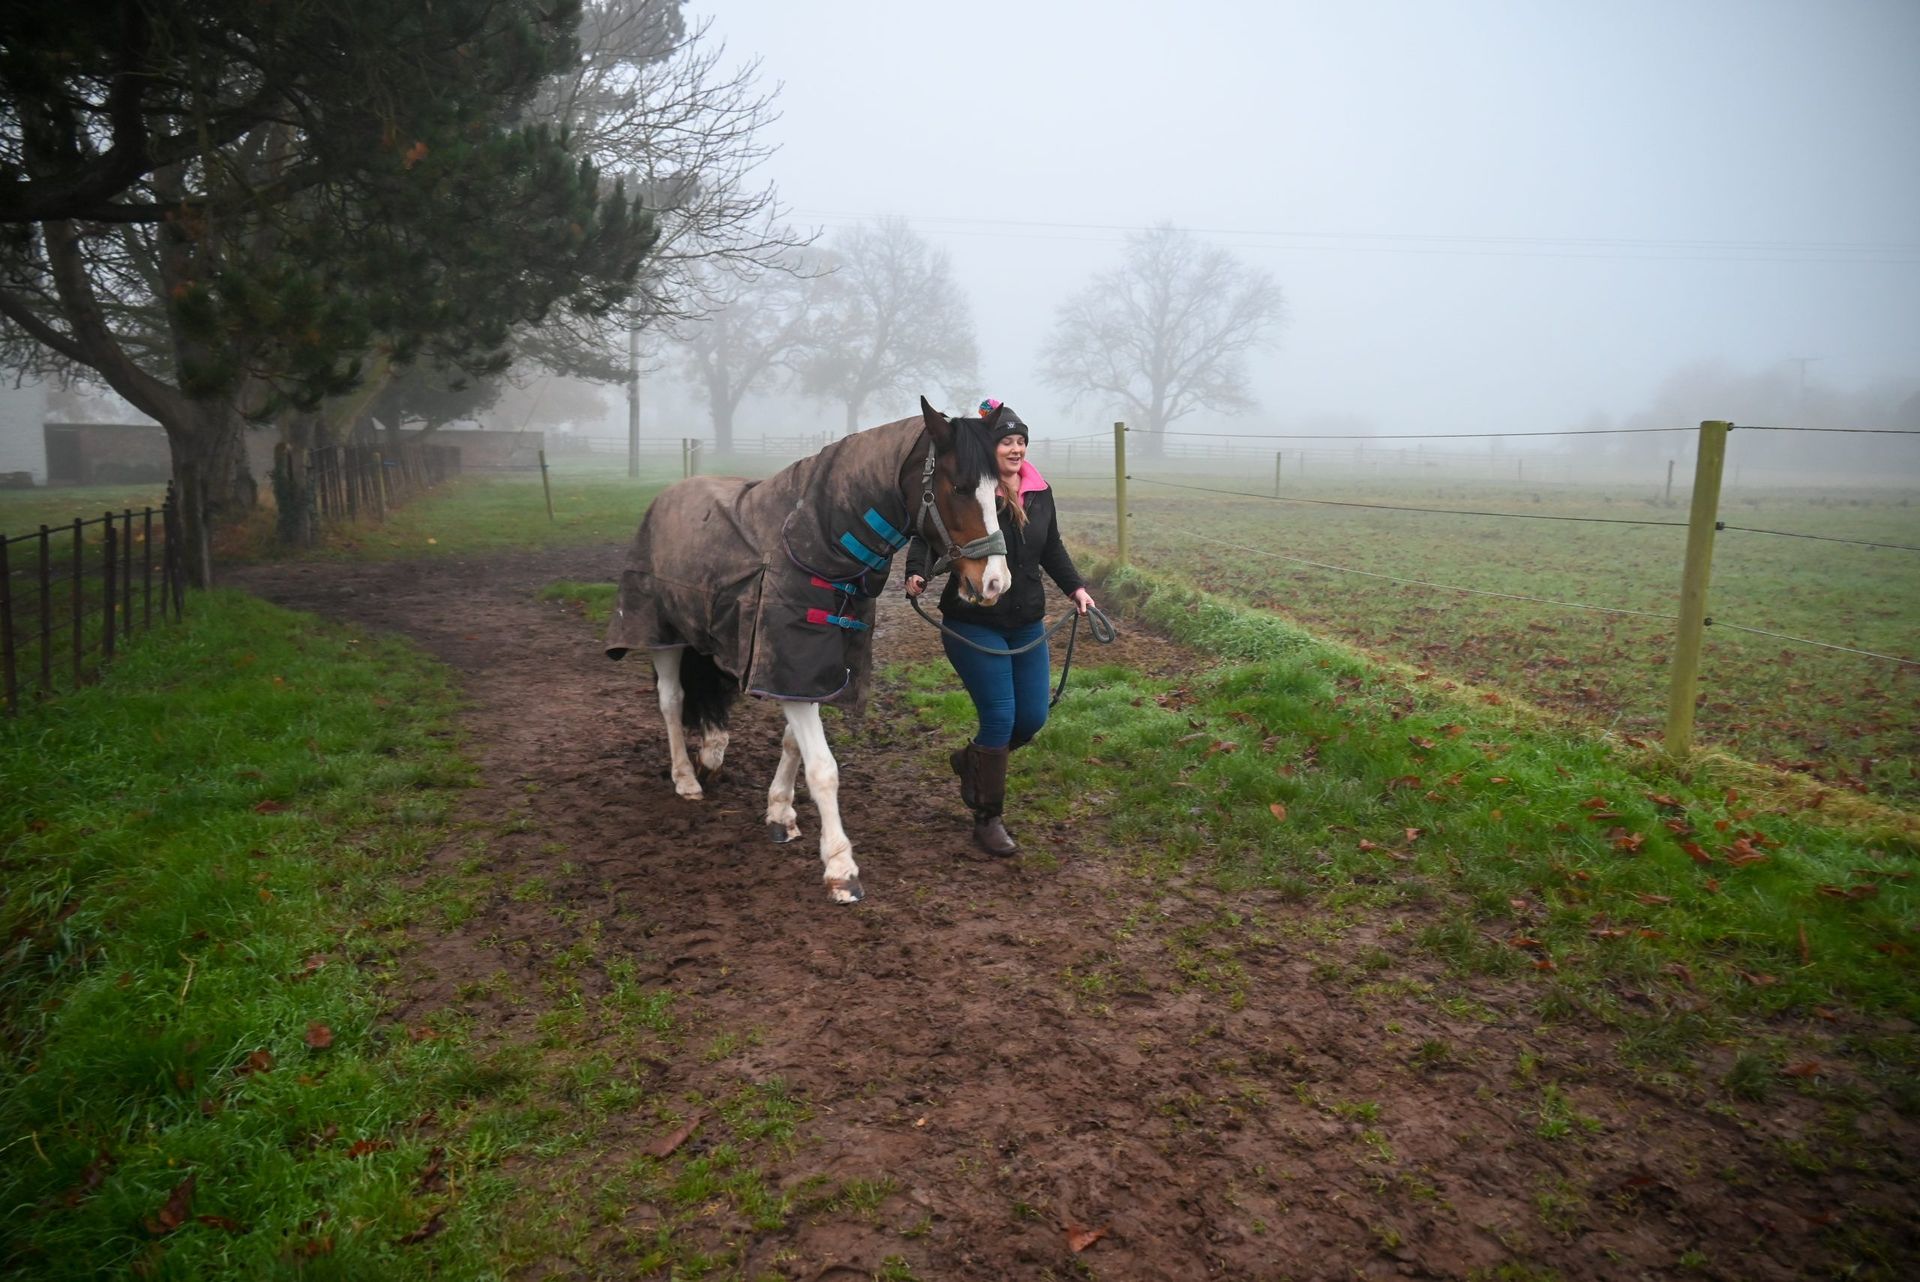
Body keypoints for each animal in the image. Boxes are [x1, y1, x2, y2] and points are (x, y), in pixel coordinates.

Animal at [606, 396, 1013, 904]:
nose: (996, 583)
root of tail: (667, 496)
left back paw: (713, 754)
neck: (813, 545)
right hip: (662, 634)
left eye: (999, 492)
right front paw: (841, 867)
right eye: (958, 487)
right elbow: (822, 767)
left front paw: (780, 813)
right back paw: (685, 778)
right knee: (671, 700)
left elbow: (791, 744)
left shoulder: (812, 670)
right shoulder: (790, 664)